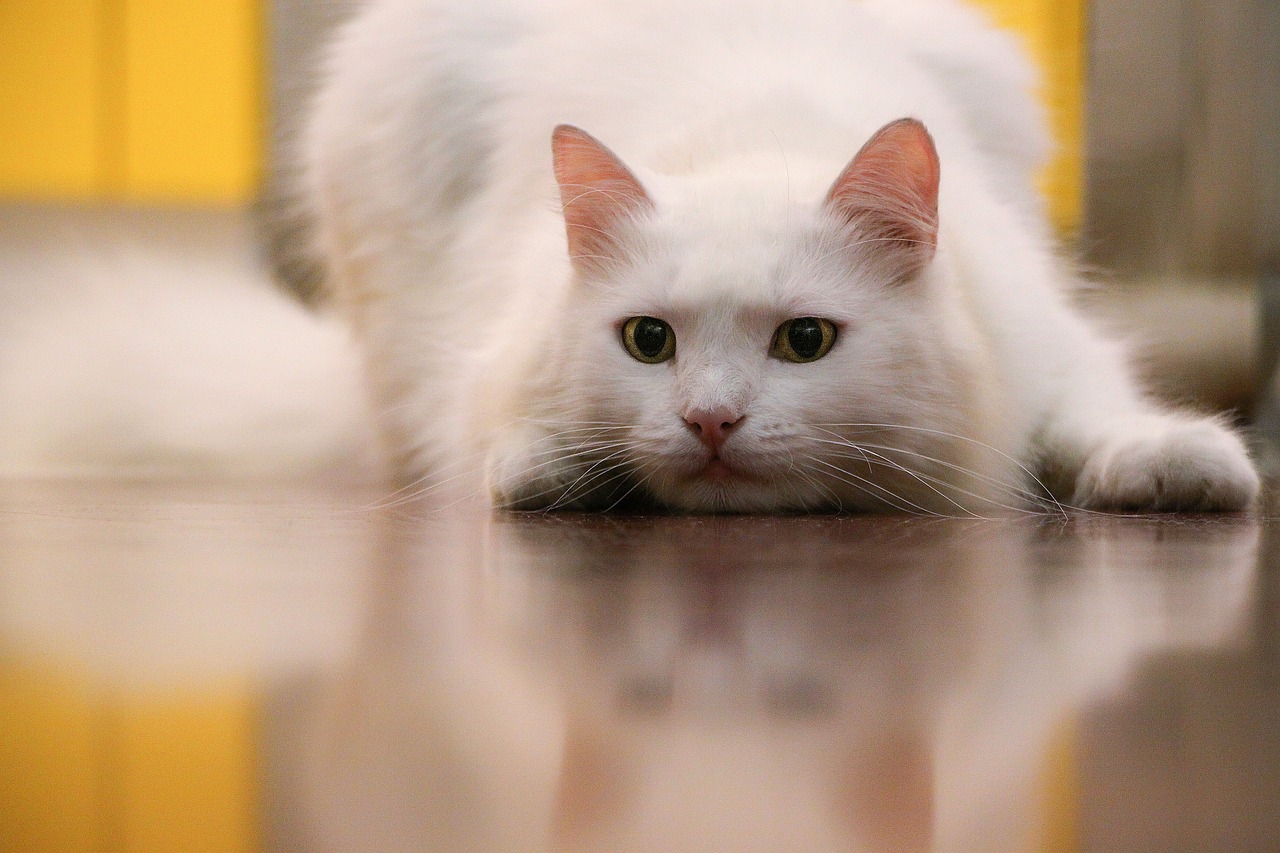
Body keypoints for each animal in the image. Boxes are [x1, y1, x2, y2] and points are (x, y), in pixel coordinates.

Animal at [302, 0, 1259, 507]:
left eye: (806, 341)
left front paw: (1184, 468)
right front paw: (555, 471)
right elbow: (508, 448)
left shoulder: (1049, 348)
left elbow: (1097, 415)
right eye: (648, 341)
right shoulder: (473, 375)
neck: (757, 137)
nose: (710, 421)